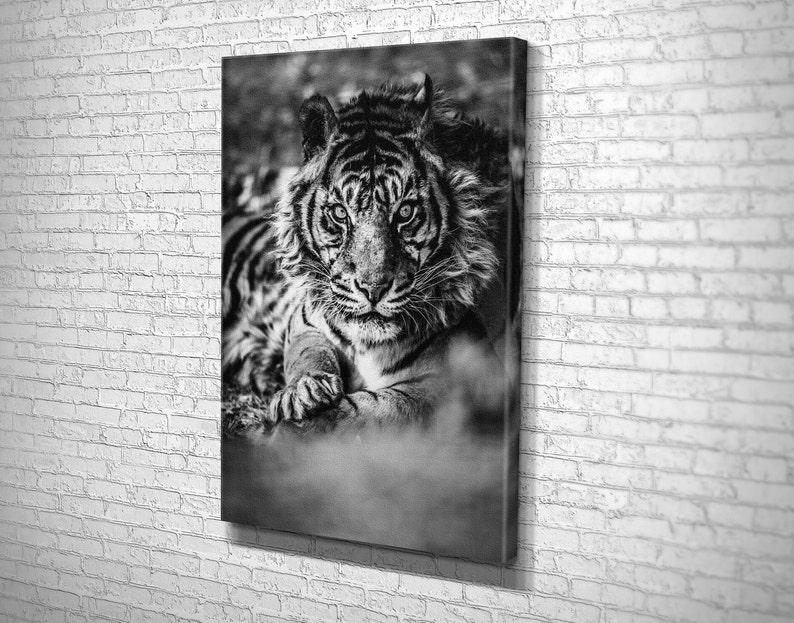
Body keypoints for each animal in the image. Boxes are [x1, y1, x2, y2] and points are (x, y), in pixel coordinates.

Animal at [222, 75, 508, 432]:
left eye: (405, 212)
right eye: (340, 213)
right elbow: (309, 353)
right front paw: (302, 392)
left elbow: (373, 409)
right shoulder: (305, 322)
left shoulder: (442, 384)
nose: (373, 289)